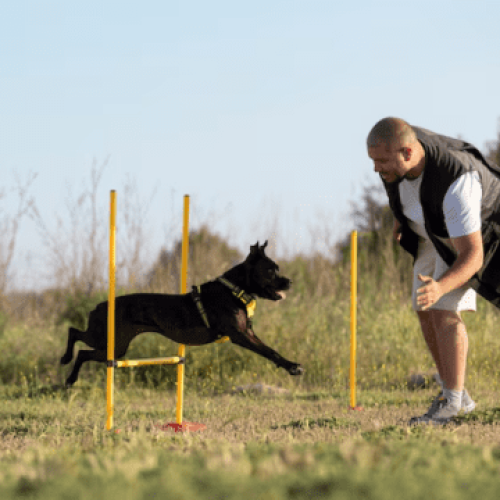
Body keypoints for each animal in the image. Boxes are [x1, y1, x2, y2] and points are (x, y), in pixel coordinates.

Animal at [62, 240, 304, 384]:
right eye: (271, 270)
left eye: (277, 268)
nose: (290, 281)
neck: (235, 289)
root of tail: (99, 306)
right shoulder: (240, 335)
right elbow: (268, 351)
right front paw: (293, 367)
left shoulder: (248, 333)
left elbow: (270, 349)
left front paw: (292, 365)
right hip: (108, 340)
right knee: (76, 337)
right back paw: (67, 368)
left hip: (116, 347)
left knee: (81, 345)